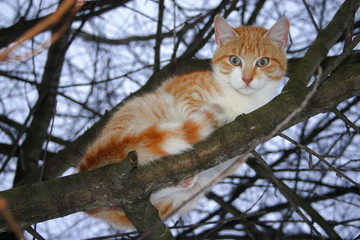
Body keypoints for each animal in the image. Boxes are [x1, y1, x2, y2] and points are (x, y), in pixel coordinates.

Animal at [78, 14, 290, 229]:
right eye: (234, 60)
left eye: (262, 62)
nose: (247, 79)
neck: (243, 100)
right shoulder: (183, 90)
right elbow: (192, 108)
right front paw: (213, 117)